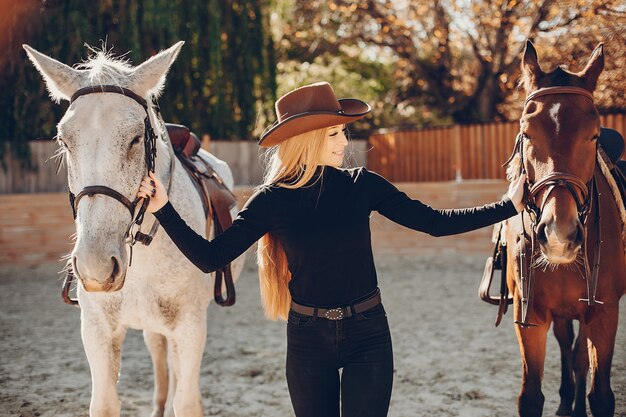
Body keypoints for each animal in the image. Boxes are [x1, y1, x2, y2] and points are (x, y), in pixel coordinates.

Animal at [22, 39, 241, 416]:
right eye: (64, 141)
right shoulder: (97, 330)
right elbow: (106, 403)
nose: (95, 266)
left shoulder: (190, 327)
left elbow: (186, 400)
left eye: (137, 138)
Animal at [502, 39, 624, 416]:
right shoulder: (530, 316)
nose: (559, 235)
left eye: (594, 135)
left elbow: (601, 395)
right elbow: (530, 396)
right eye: (526, 134)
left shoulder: (603, 314)